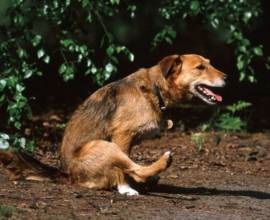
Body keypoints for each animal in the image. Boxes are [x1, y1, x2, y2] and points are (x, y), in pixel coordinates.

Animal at [59, 54, 226, 195]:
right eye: (200, 67)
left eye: (209, 63)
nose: (227, 77)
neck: (155, 89)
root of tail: (71, 176)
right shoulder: (122, 135)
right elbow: (126, 170)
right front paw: (125, 188)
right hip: (105, 146)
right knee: (134, 170)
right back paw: (161, 163)